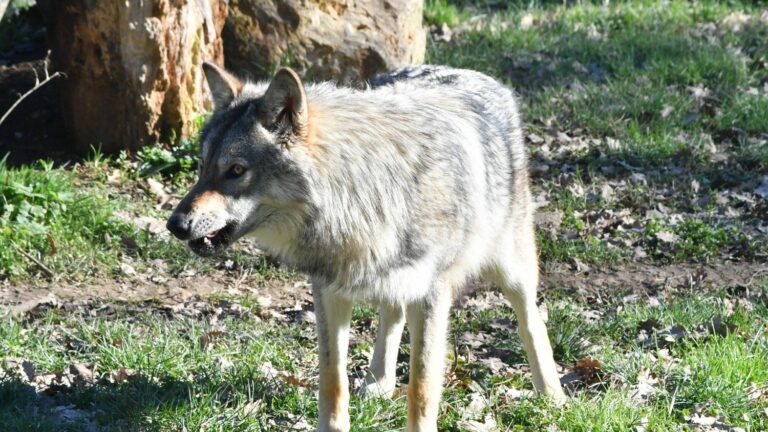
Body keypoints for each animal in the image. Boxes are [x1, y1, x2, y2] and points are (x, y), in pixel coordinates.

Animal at [168, 61, 564, 432]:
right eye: (203, 166)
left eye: (236, 170)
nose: (175, 225)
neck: (361, 195)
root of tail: (469, 72)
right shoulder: (328, 291)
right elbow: (332, 380)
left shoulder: (432, 295)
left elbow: (421, 386)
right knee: (392, 313)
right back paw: (379, 382)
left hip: (512, 268)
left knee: (531, 320)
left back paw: (553, 394)